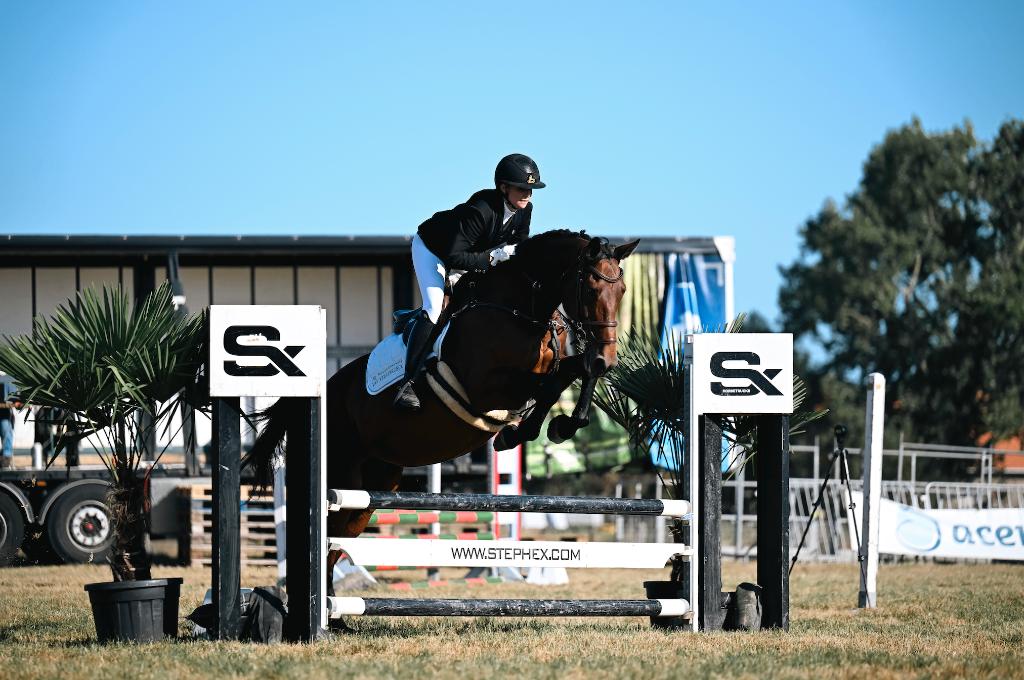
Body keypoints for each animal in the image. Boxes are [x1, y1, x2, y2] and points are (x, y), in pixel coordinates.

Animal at [245, 229, 639, 591]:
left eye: (621, 291)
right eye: (591, 290)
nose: (607, 359)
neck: (520, 311)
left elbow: (574, 371)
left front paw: (560, 425)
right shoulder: (487, 388)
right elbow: (552, 381)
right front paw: (523, 431)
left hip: (372, 485)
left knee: (335, 546)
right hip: (342, 473)